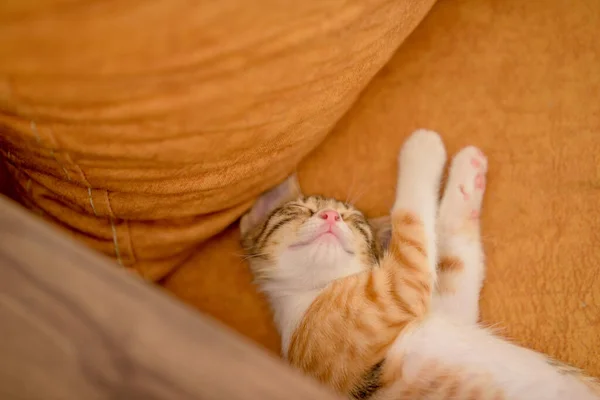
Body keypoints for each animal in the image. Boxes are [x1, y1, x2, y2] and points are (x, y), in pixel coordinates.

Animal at [239, 130, 600, 400]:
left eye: (355, 222)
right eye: (300, 211)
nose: (330, 217)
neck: (316, 291)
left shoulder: (450, 310)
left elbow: (455, 260)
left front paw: (468, 176)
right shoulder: (395, 290)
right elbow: (411, 223)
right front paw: (423, 147)